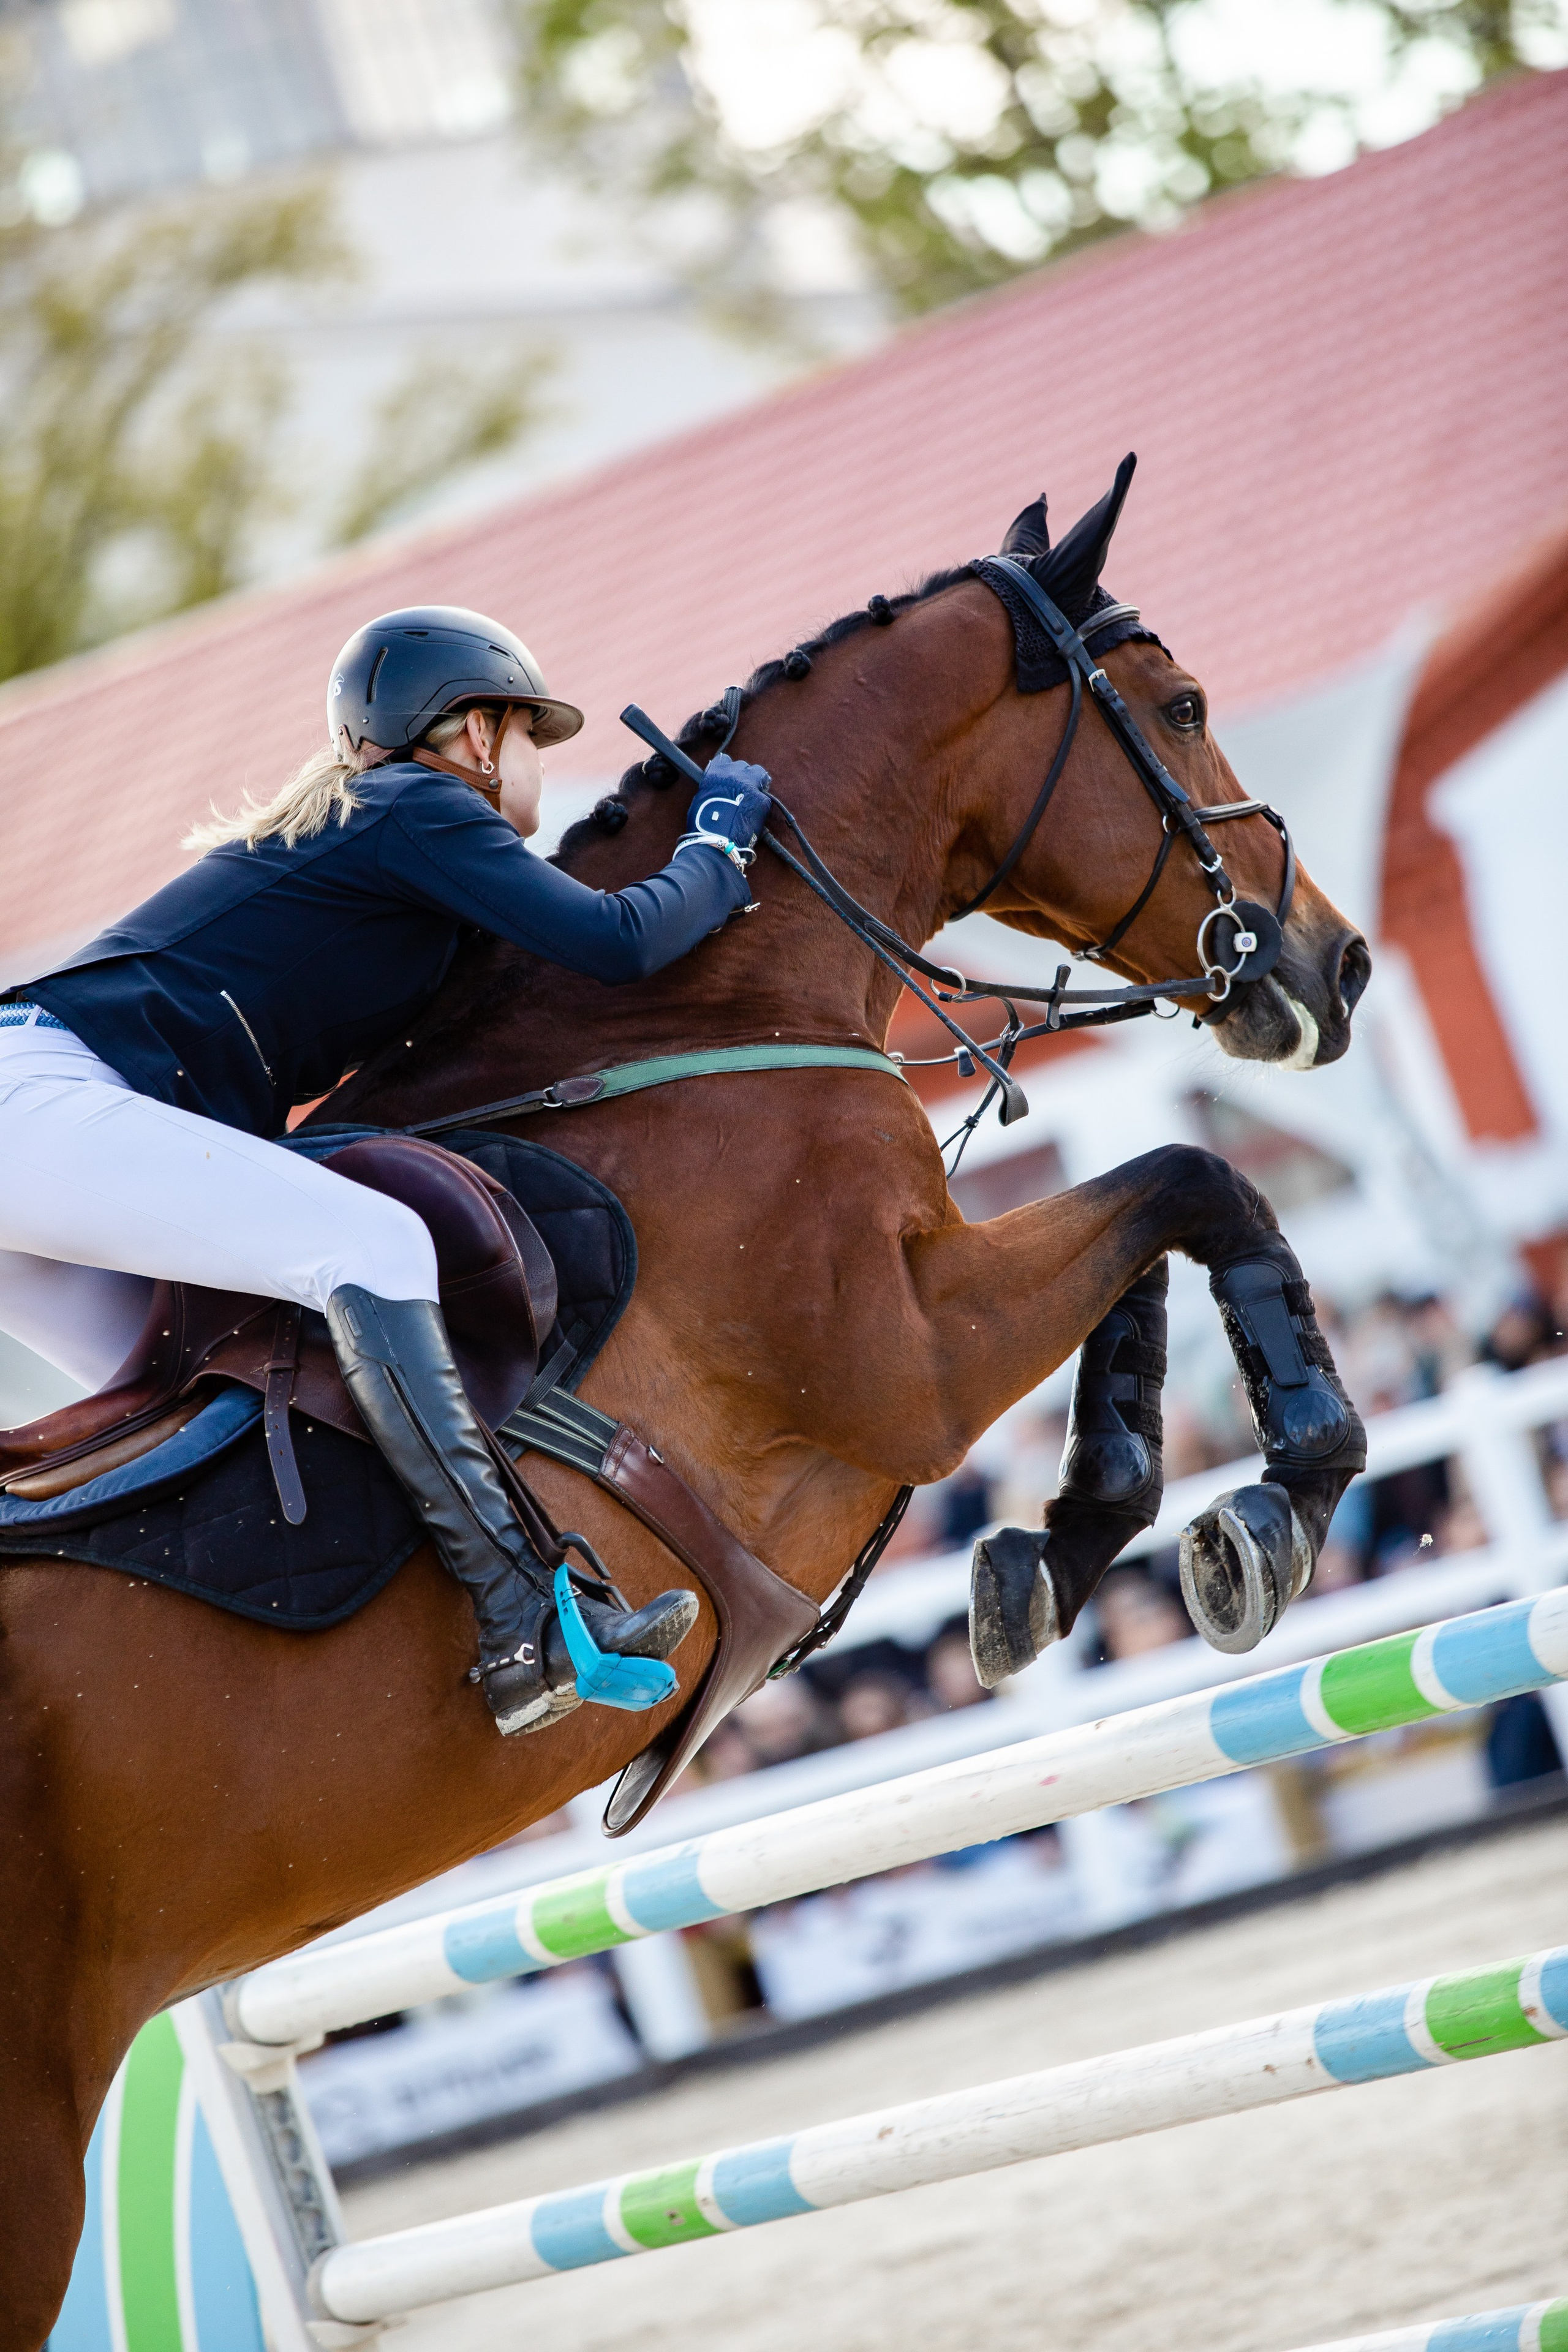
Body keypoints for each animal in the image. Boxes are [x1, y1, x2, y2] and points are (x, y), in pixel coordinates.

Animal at [0, 470, 1368, 2346]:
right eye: (1175, 704)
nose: (1338, 963)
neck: (702, 1012)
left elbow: (1151, 1254)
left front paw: (1056, 1555)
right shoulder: (907, 1356)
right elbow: (1192, 1183)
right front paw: (1273, 1506)